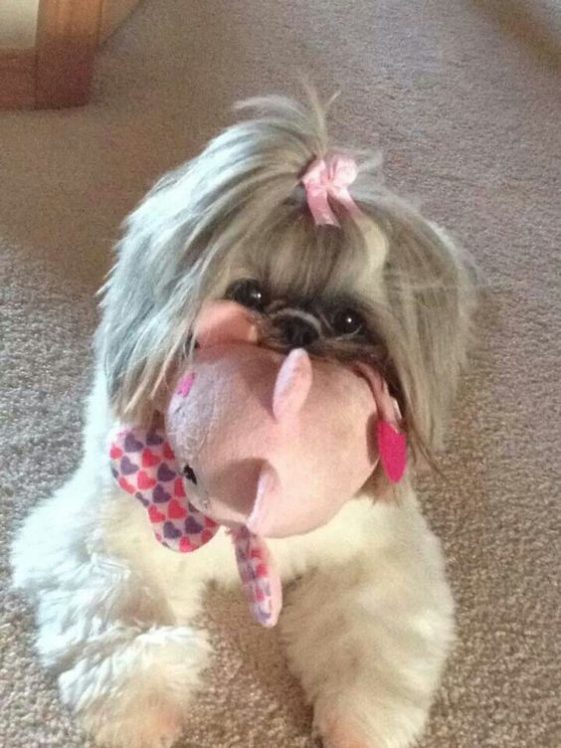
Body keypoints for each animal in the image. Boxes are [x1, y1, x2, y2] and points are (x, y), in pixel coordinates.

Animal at [9, 95, 472, 748]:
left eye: (349, 322)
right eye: (249, 295)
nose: (299, 327)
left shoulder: (380, 555)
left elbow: (370, 645)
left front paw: (360, 724)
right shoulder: (103, 541)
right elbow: (126, 626)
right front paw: (140, 713)